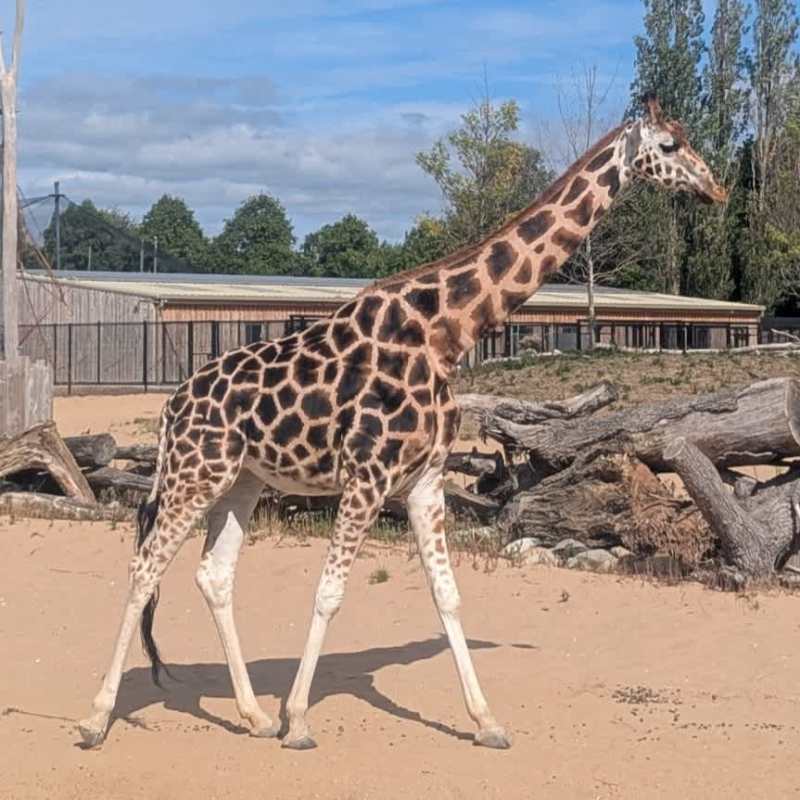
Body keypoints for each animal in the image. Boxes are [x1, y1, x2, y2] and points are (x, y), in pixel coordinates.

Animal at [78, 94, 727, 751]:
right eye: (669, 146)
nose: (715, 188)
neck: (447, 334)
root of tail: (171, 407)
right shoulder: (366, 477)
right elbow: (330, 592)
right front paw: (299, 720)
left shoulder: (426, 480)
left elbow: (447, 594)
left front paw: (486, 722)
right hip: (195, 473)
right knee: (143, 567)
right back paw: (96, 718)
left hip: (242, 481)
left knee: (213, 575)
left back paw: (252, 715)